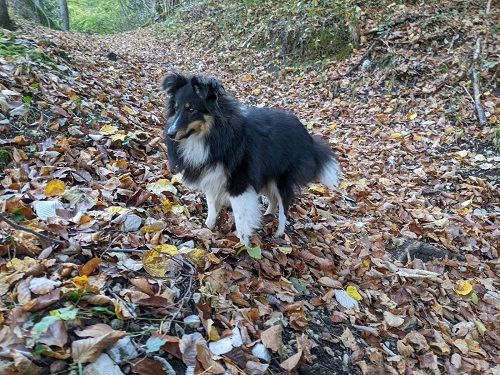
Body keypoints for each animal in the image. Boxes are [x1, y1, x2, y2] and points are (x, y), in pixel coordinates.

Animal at [162, 73, 342, 247]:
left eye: (191, 109)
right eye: (176, 108)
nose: (170, 133)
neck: (214, 135)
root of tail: (307, 136)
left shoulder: (238, 183)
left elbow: (241, 218)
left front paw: (243, 245)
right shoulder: (212, 177)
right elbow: (212, 207)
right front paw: (206, 229)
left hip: (281, 178)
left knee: (284, 206)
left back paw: (279, 233)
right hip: (266, 176)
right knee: (273, 199)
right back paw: (268, 215)